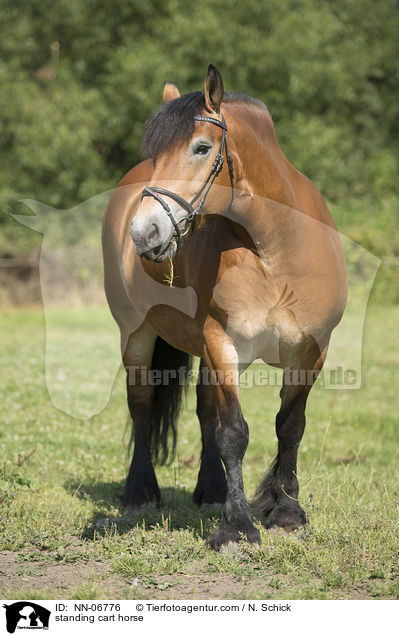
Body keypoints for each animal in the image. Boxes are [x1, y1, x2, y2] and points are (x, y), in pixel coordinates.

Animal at [102, 66, 346, 552]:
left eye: (201, 148)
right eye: (155, 154)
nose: (143, 233)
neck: (276, 252)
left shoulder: (311, 351)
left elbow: (290, 425)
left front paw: (286, 513)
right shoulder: (222, 342)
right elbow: (233, 431)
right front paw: (237, 528)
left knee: (203, 410)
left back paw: (211, 491)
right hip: (136, 334)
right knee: (142, 405)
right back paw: (140, 494)